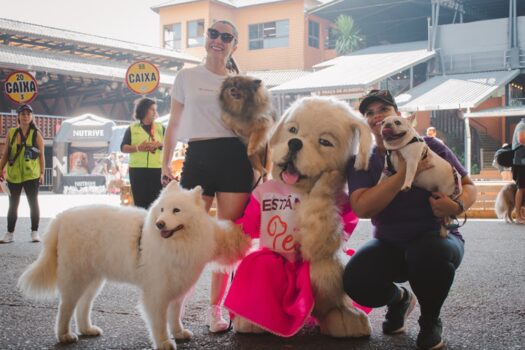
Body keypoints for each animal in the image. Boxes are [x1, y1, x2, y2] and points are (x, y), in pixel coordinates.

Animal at [17, 180, 251, 350]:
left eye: (176, 210)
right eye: (162, 210)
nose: (160, 224)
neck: (177, 243)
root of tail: (61, 217)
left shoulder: (178, 289)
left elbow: (175, 316)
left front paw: (179, 333)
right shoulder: (157, 292)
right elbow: (159, 322)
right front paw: (164, 342)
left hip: (93, 279)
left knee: (83, 305)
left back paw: (87, 329)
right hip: (76, 277)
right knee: (65, 308)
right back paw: (65, 335)